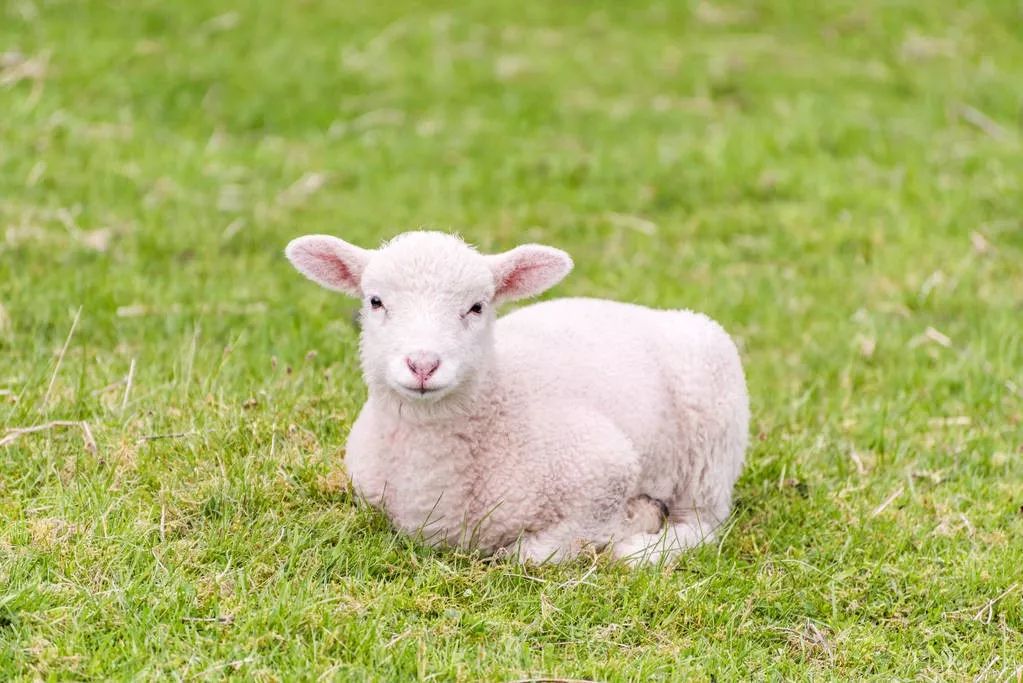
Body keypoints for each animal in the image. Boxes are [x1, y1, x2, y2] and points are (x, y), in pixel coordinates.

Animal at [284, 232, 748, 564]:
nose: (423, 364)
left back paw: (643, 549)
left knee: (704, 524)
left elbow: (530, 555)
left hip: (712, 436)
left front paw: (631, 522)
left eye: (477, 307)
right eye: (376, 301)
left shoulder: (604, 467)